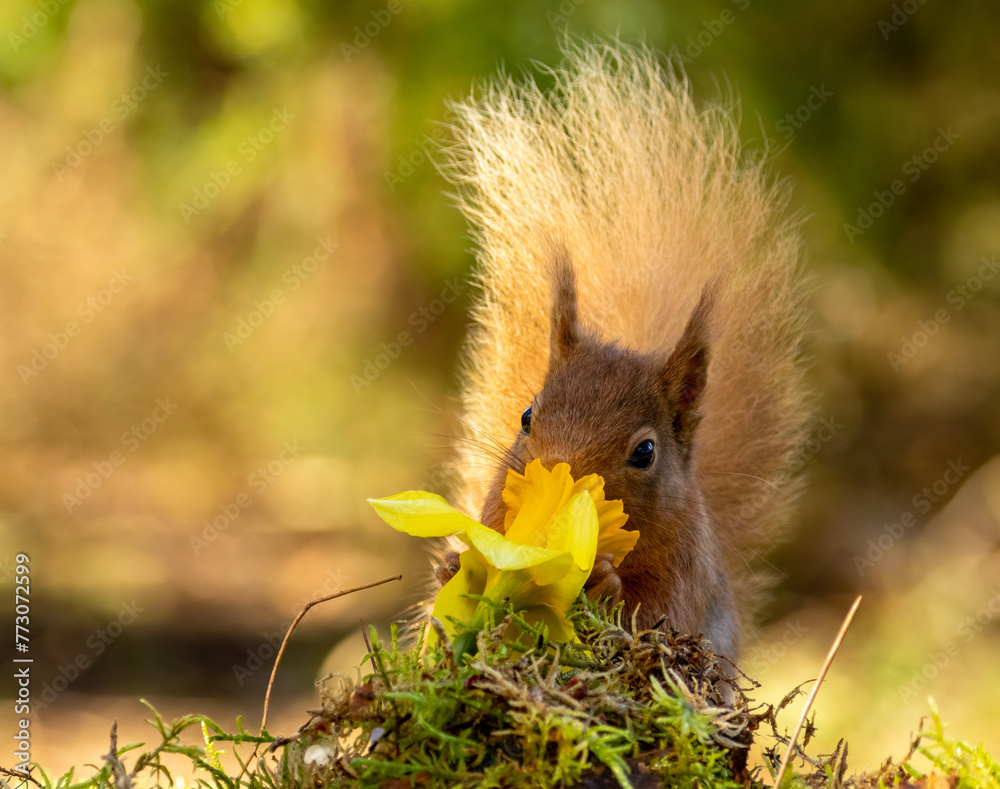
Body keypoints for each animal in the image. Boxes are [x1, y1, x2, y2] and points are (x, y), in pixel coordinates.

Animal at [431, 40, 810, 664]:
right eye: (526, 417)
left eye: (645, 452)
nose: (559, 487)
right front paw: (456, 566)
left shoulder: (684, 569)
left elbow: (658, 615)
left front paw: (606, 586)